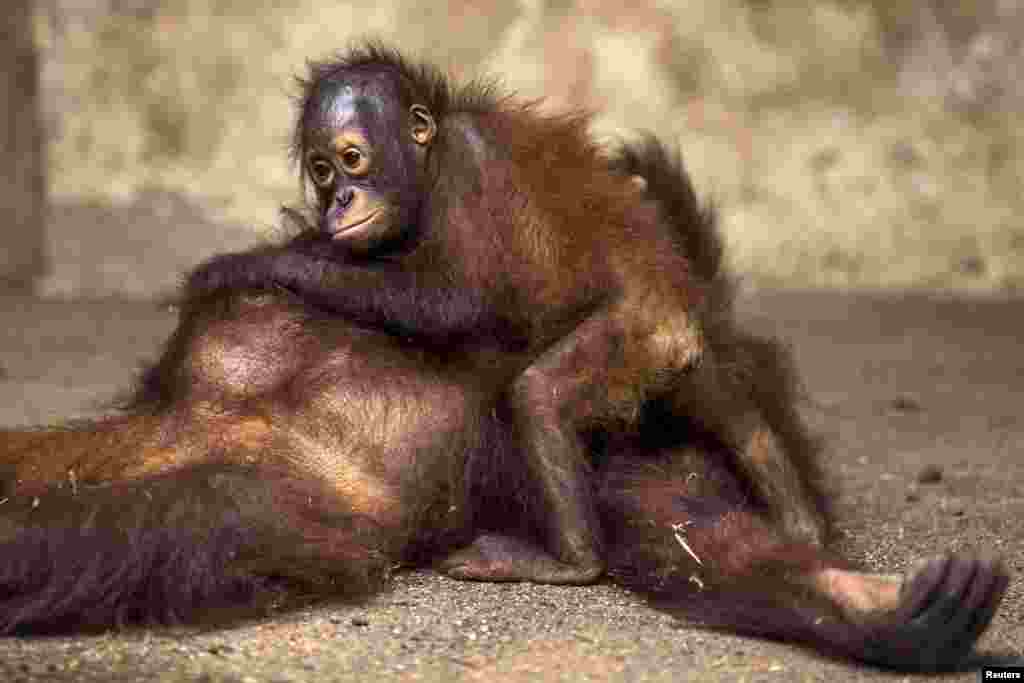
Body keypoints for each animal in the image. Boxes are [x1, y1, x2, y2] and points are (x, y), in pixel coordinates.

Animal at [185, 43, 827, 589]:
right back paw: (801, 522)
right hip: (670, 350)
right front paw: (303, 243)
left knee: (538, 394)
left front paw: (254, 264)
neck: (429, 159)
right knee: (736, 415)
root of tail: (677, 312)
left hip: (636, 331)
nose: (341, 198)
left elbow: (452, 303)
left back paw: (573, 562)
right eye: (322, 170)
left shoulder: (466, 174)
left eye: (352, 159)